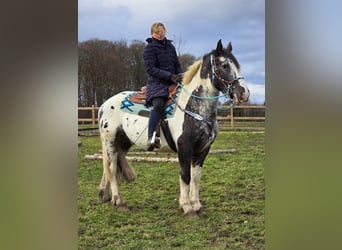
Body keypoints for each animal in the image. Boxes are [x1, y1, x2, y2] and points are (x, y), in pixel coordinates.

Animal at [97, 39, 250, 217]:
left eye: (237, 66)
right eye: (225, 65)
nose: (244, 93)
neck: (193, 107)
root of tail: (104, 105)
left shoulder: (203, 148)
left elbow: (196, 176)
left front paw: (196, 204)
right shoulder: (185, 147)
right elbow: (185, 175)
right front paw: (187, 207)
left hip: (123, 143)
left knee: (110, 168)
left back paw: (105, 195)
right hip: (110, 141)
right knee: (112, 168)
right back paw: (119, 201)